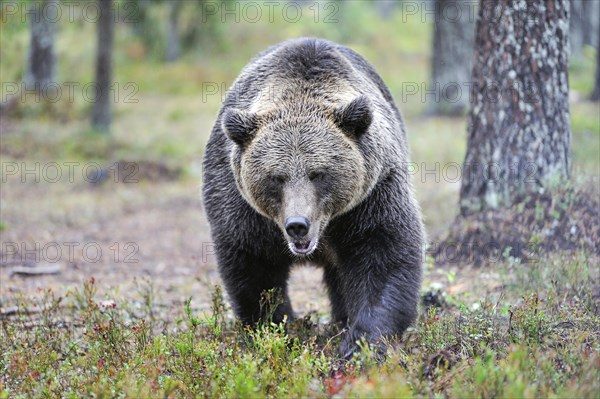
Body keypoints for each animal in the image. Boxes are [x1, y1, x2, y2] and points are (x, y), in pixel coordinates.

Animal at [204, 36, 424, 356]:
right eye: (276, 177)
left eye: (318, 173)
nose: (297, 225)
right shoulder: (242, 206)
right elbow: (253, 267)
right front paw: (274, 330)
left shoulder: (372, 197)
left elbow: (384, 254)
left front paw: (360, 343)